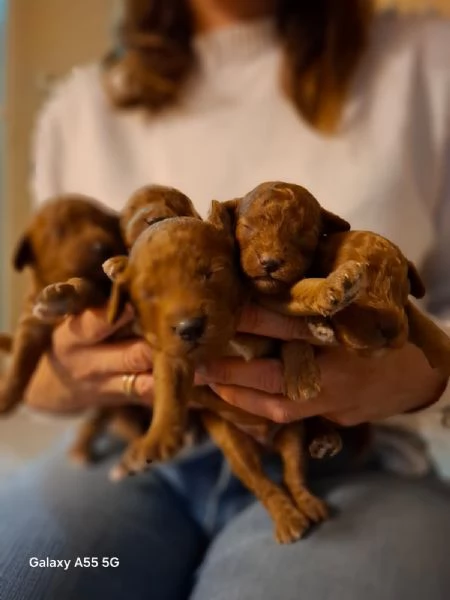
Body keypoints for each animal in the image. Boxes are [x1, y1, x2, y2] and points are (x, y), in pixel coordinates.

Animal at [0, 195, 125, 414]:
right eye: (59, 231)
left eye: (104, 224)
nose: (102, 246)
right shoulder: (31, 323)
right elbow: (20, 355)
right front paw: (6, 394)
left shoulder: (102, 291)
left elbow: (83, 286)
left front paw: (61, 297)